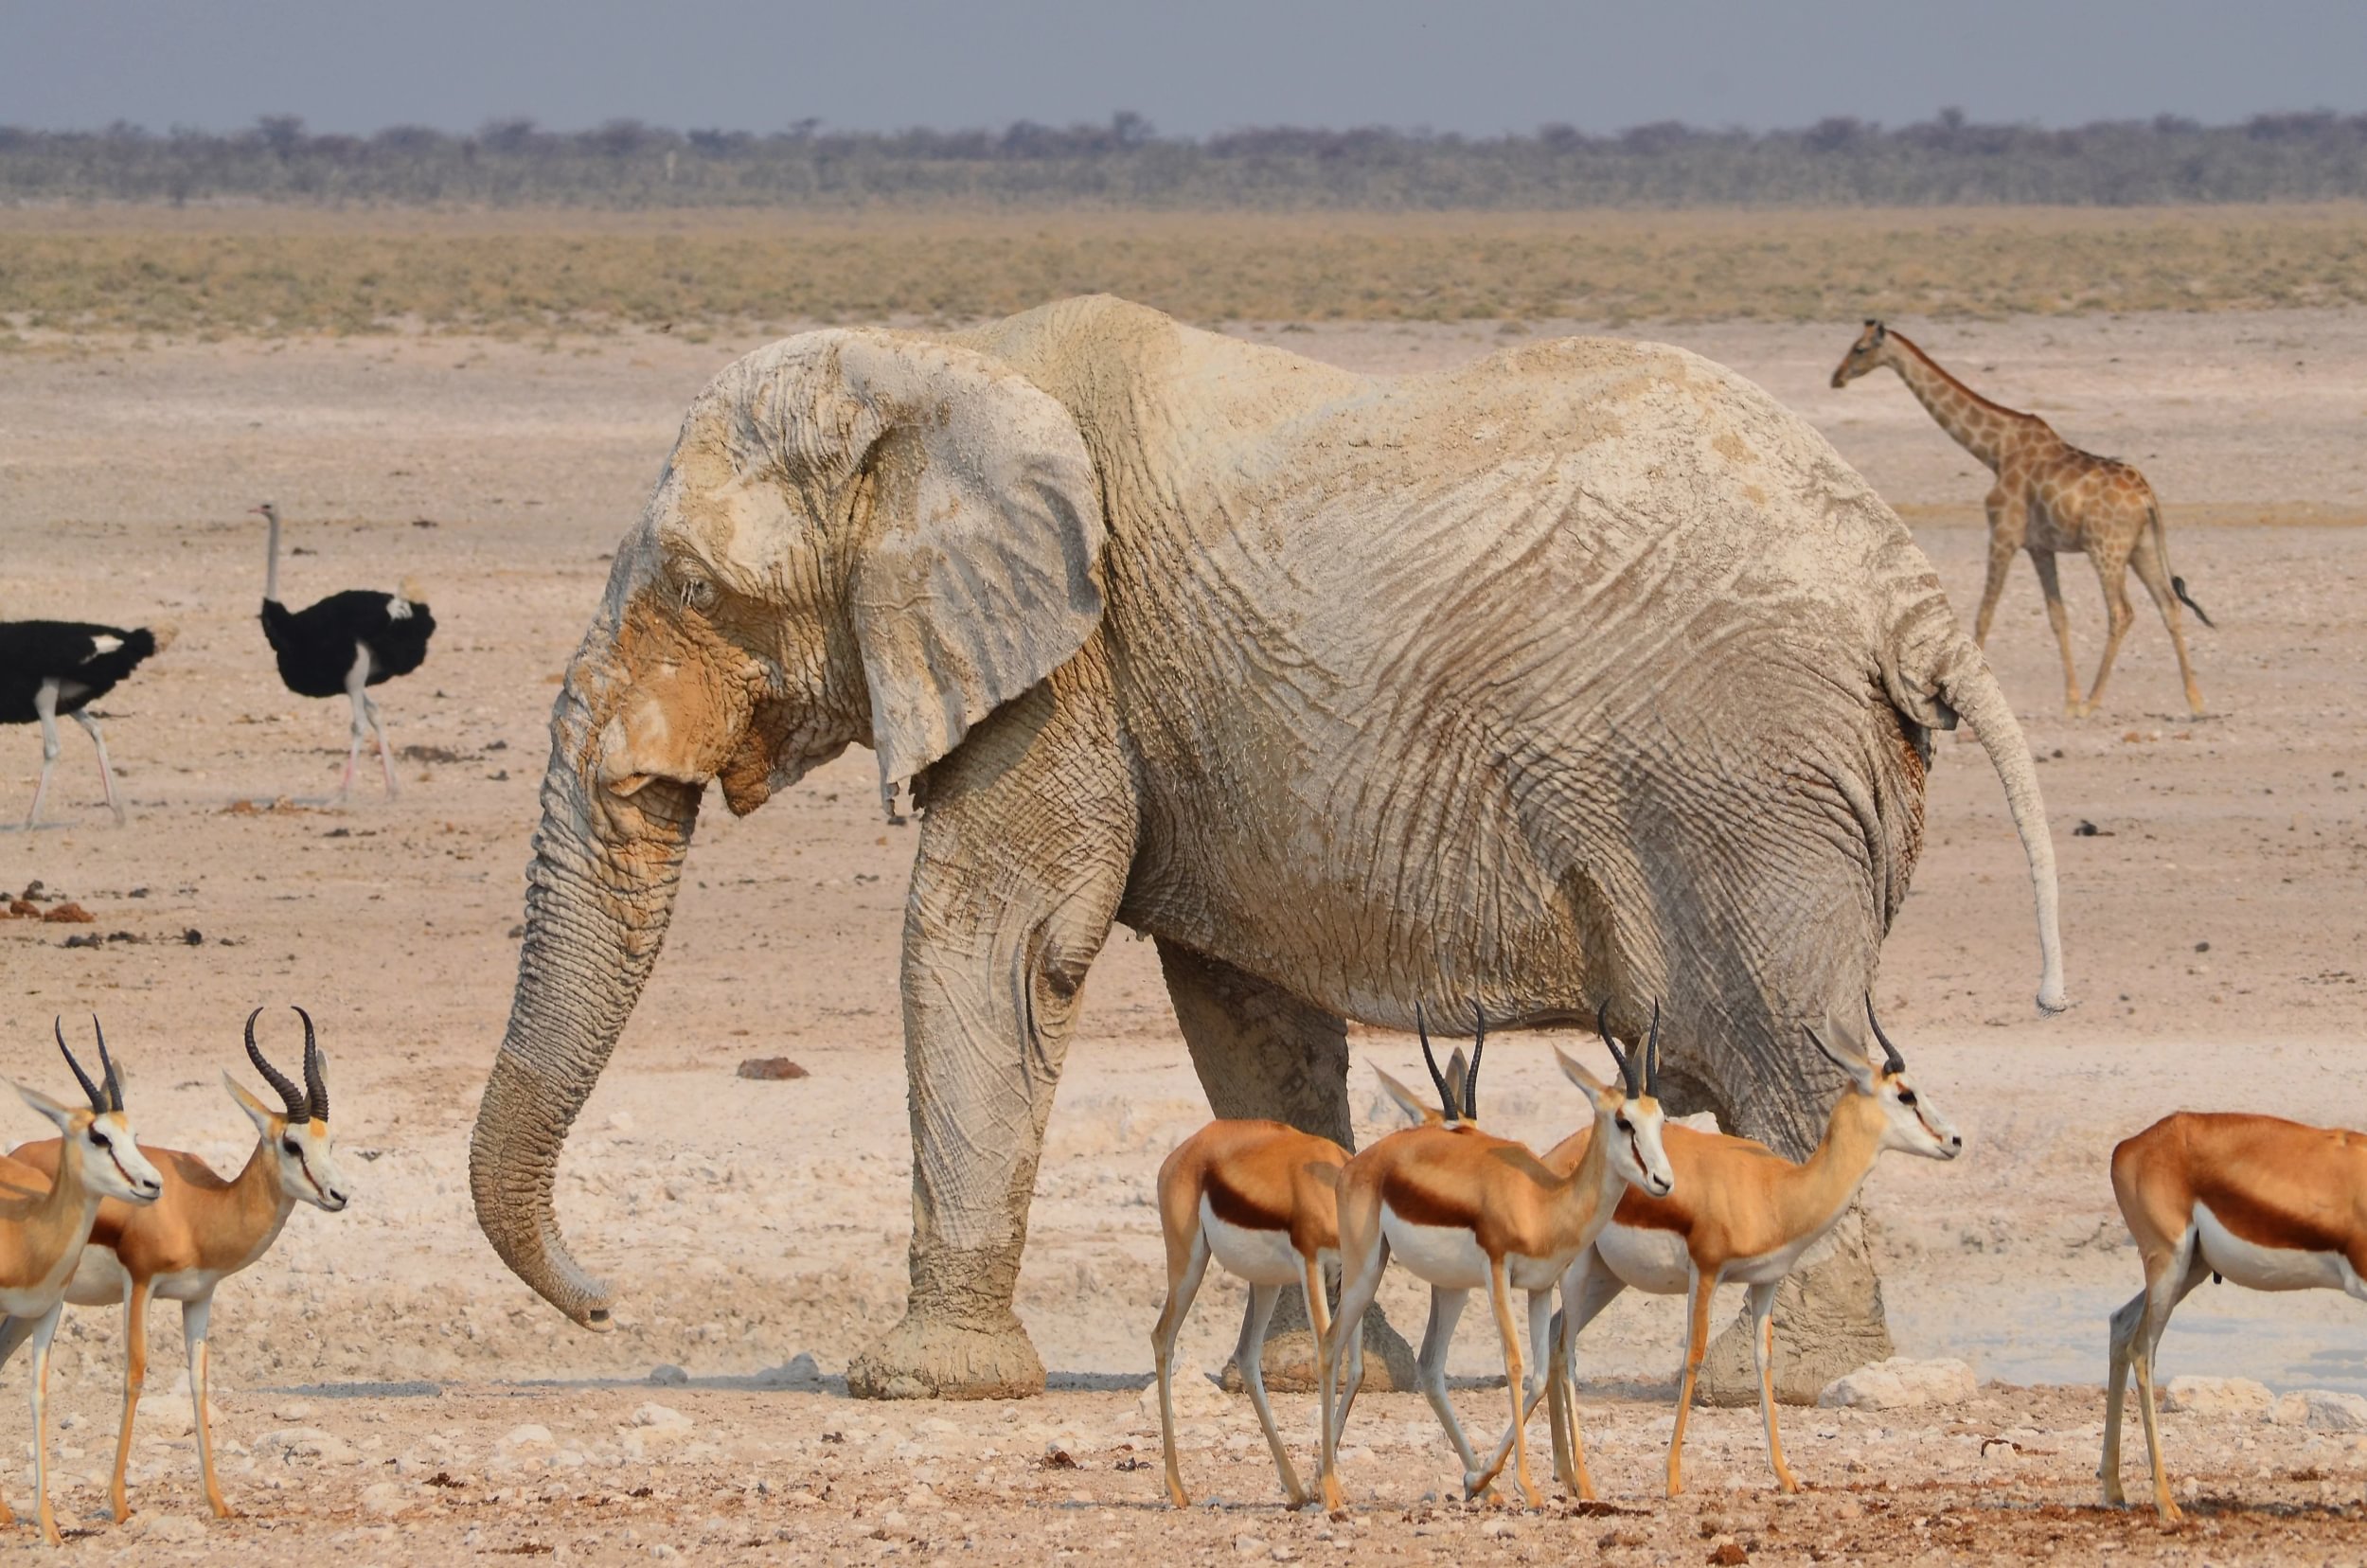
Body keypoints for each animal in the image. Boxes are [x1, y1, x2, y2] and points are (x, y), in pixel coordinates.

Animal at [470, 294, 2064, 1403]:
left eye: (695, 587)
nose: (606, 1304)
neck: (940, 362)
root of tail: (1911, 598)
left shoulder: (1074, 670)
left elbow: (996, 944)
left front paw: (918, 1385)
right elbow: (1245, 1016)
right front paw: (1309, 1376)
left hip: (1741, 780)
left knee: (1783, 1053)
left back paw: (1776, 1382)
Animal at [1831, 320, 2212, 717]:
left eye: (1859, 349)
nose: (1836, 378)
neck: (1996, 450)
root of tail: (2148, 498)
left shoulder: (2003, 534)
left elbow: (1984, 612)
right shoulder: (2040, 548)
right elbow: (2058, 617)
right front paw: (2069, 700)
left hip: (2106, 549)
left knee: (2122, 612)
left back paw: (2095, 701)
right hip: (2142, 547)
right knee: (2169, 604)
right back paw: (2194, 701)